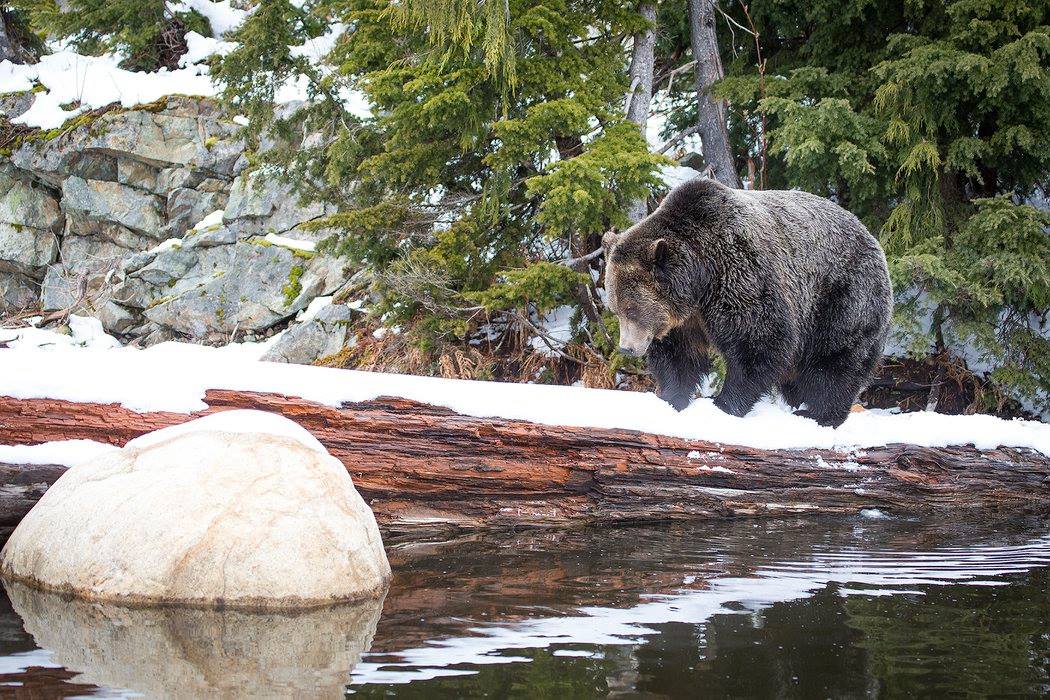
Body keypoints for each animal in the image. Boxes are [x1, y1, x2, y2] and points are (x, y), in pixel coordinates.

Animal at [602, 178, 892, 428]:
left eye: (632, 310)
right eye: (616, 309)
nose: (627, 348)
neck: (699, 281)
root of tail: (873, 238)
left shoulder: (739, 272)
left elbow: (757, 341)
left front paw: (723, 404)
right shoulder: (683, 319)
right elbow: (678, 356)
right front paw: (673, 398)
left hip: (841, 296)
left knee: (835, 359)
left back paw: (819, 414)